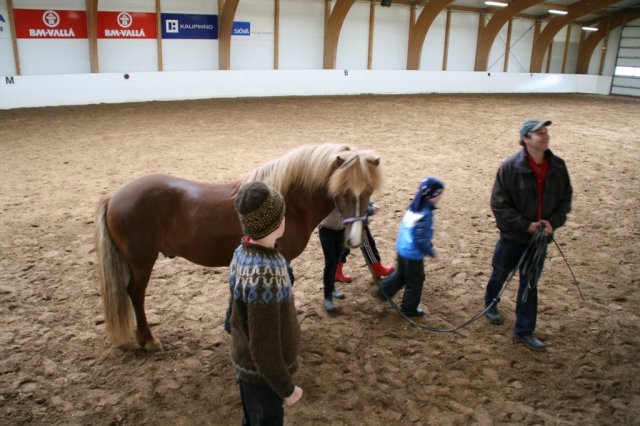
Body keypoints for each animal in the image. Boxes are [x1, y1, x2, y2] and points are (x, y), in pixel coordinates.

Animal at [95, 143, 382, 350]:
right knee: (136, 293)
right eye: (341, 191)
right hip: (142, 261)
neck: (289, 202)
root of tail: (114, 197)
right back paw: (149, 340)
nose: (355, 239)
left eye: (368, 191)